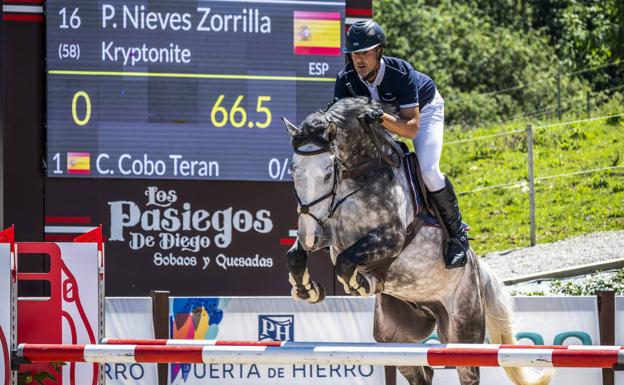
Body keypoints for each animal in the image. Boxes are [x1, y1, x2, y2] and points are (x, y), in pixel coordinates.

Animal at [282, 97, 552, 385]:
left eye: (327, 173)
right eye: (293, 171)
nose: (307, 234)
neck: (359, 177)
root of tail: (476, 269)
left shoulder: (390, 238)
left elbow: (345, 262)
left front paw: (359, 284)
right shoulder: (328, 231)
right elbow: (296, 256)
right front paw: (308, 289)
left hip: (462, 331)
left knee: (466, 373)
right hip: (395, 337)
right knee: (422, 372)